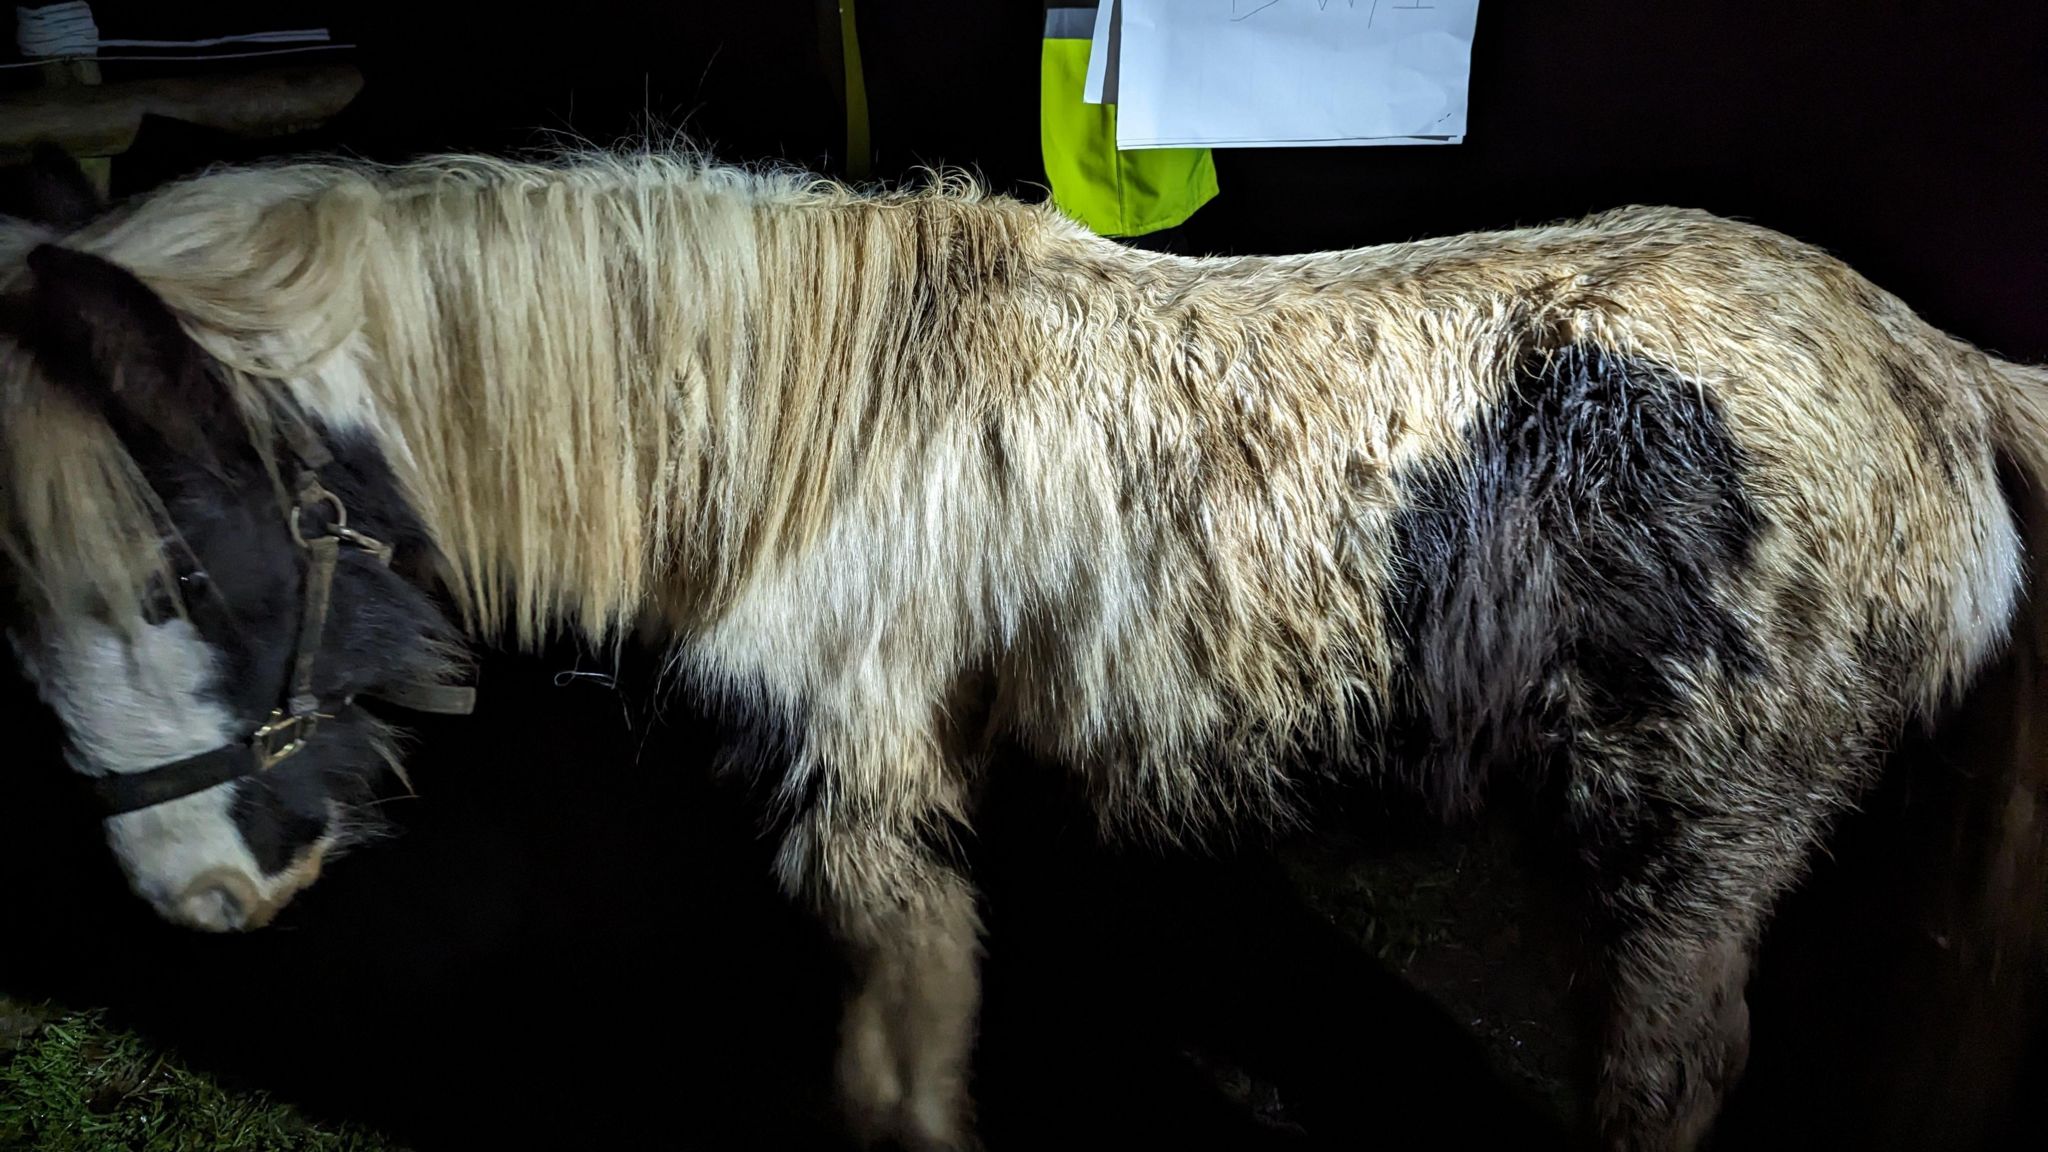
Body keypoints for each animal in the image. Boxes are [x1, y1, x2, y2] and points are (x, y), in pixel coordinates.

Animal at [0, 145, 2039, 1147]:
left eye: (184, 577)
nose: (188, 900)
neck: (790, 437)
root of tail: (1930, 365)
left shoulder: (869, 800)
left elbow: (904, 1072)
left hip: (1703, 840)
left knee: (1665, 1086)